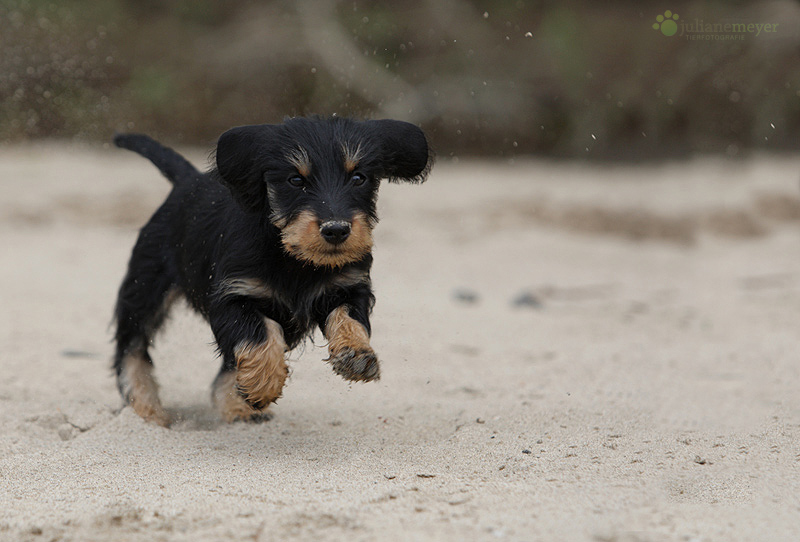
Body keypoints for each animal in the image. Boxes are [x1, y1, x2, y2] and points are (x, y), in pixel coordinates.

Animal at [112, 117, 432, 428]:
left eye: (358, 178)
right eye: (295, 180)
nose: (336, 230)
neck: (294, 259)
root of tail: (186, 181)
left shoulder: (349, 288)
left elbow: (349, 318)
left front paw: (356, 354)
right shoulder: (234, 296)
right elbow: (260, 335)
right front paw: (263, 383)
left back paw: (237, 408)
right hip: (145, 288)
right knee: (131, 348)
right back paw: (147, 410)